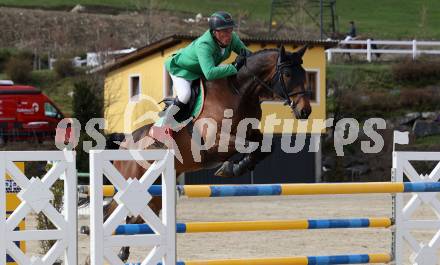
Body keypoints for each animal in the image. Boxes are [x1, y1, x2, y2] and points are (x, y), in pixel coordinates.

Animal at [87, 44, 312, 262]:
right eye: (288, 75)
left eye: (304, 74)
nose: (305, 111)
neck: (239, 92)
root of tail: (124, 143)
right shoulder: (215, 141)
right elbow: (246, 145)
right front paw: (230, 167)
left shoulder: (250, 131)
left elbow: (264, 146)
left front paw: (238, 166)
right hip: (128, 183)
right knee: (110, 214)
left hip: (154, 191)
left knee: (134, 218)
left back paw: (122, 253)